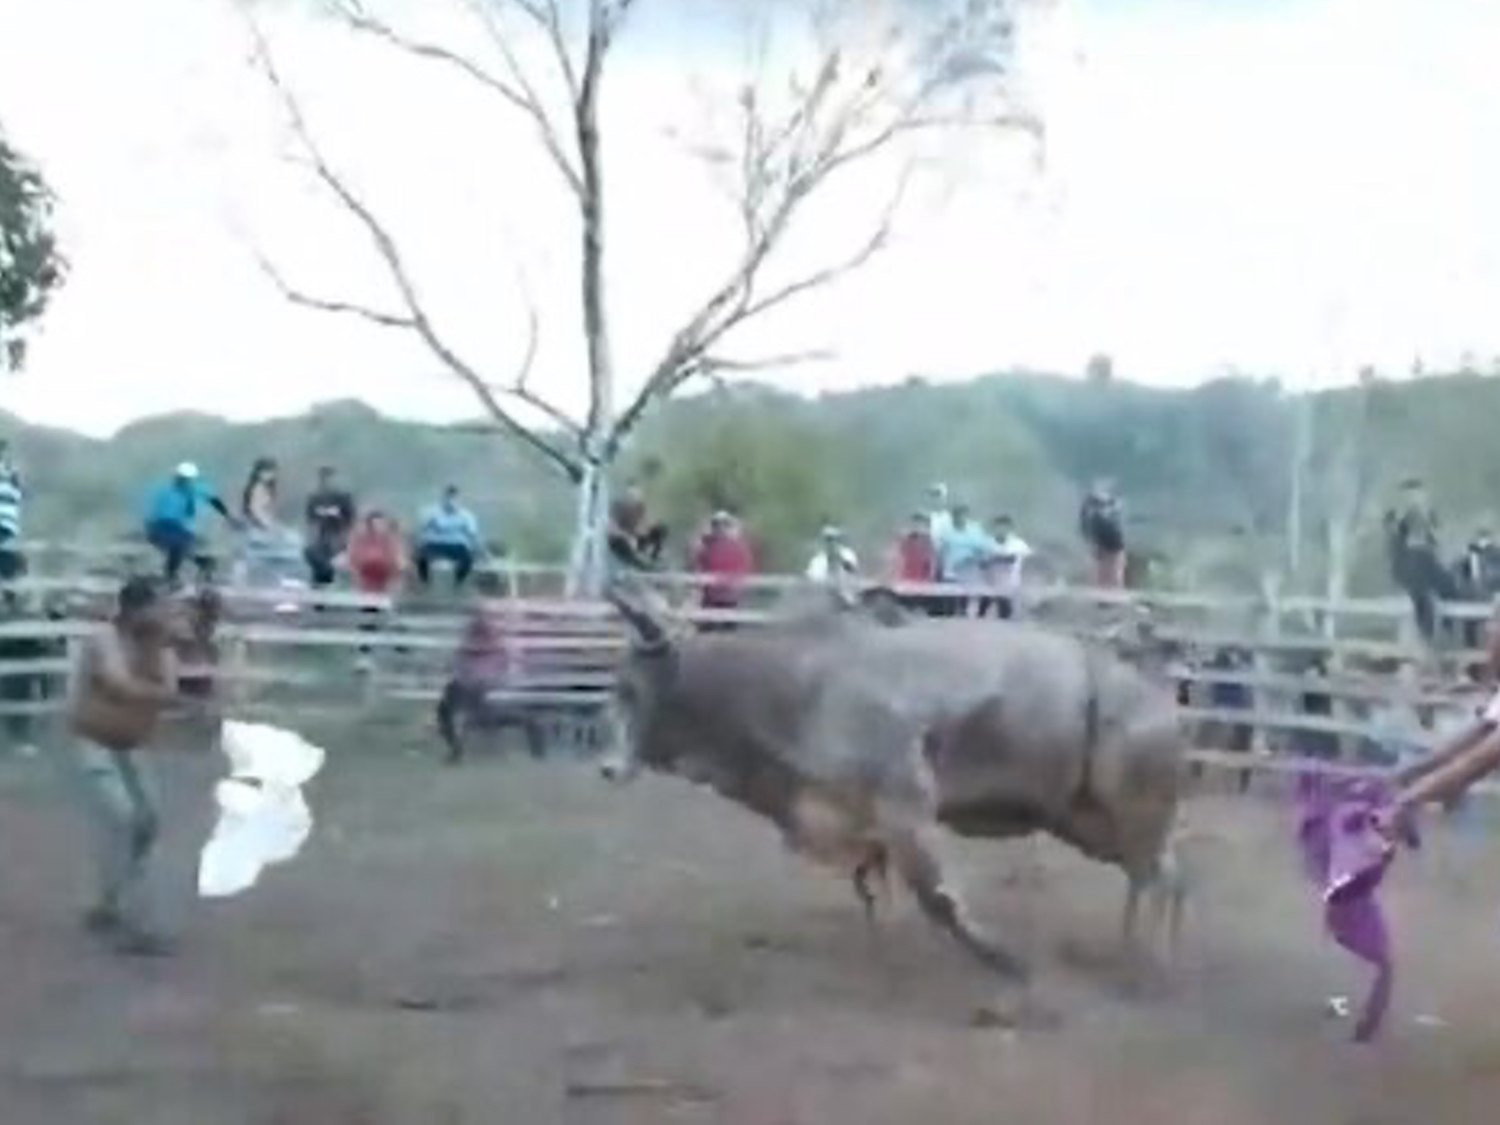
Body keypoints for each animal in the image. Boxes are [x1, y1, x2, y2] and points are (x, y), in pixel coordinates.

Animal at [597, 585, 1182, 984]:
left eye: (629, 689)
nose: (605, 767)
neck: (800, 686)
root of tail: (1157, 697)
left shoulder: (905, 808)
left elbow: (938, 898)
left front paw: (1005, 959)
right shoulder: (858, 826)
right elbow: (874, 891)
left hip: (1130, 810)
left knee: (1155, 877)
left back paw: (1144, 964)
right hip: (1088, 821)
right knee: (1163, 876)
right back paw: (1140, 953)